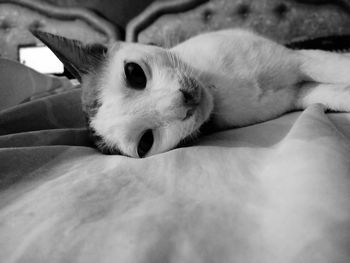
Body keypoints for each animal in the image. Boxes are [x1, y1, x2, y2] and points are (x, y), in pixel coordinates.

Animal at [31, 29, 350, 157]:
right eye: (145, 143)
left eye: (134, 73)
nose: (183, 101)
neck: (218, 89)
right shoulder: (297, 93)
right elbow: (329, 91)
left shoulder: (299, 60)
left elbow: (338, 68)